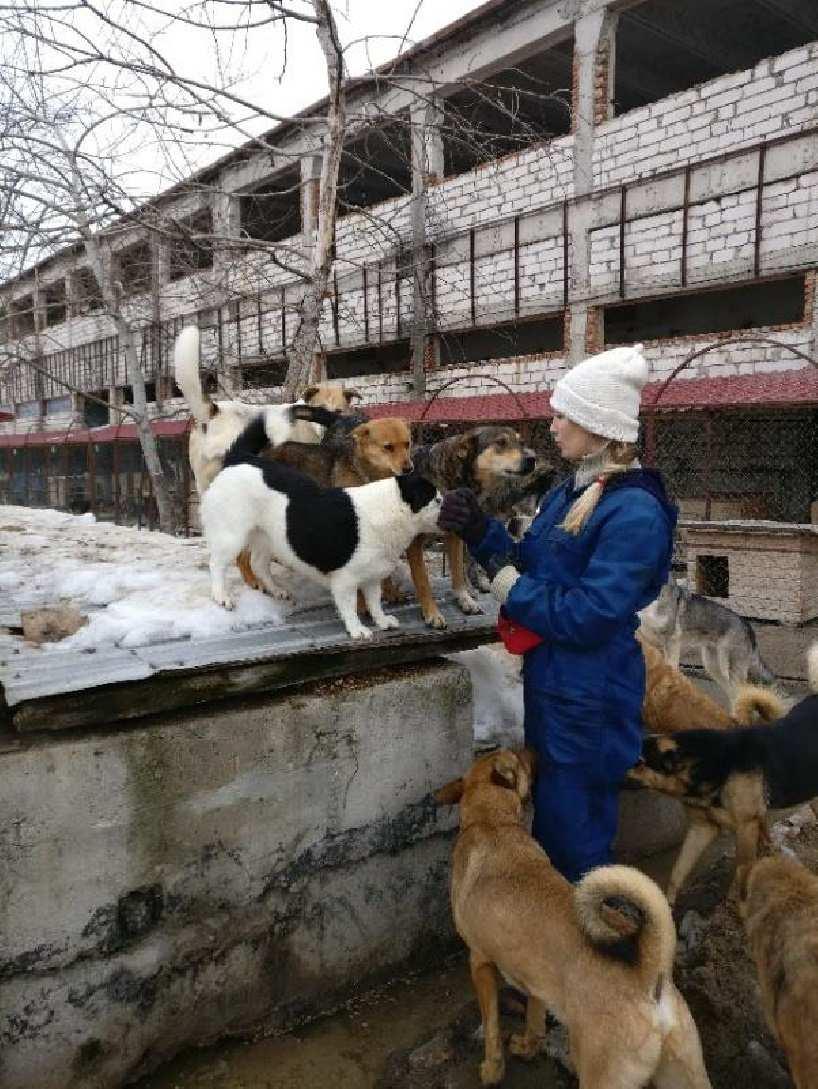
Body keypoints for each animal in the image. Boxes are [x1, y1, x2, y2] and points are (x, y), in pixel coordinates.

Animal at [200, 411, 442, 640]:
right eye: (437, 500)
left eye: (408, 444)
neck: (386, 508)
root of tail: (238, 459)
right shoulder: (345, 581)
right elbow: (351, 607)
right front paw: (357, 629)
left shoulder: (372, 578)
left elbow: (375, 602)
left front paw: (382, 621)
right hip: (233, 536)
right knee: (218, 564)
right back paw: (222, 596)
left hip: (269, 537)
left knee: (258, 564)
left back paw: (276, 590)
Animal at [437, 749, 714, 1089]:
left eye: (517, 755)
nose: (534, 749)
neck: (493, 821)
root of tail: (648, 972)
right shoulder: (536, 981)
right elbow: (534, 1019)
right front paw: (527, 1047)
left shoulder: (480, 962)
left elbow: (491, 1026)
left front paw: (492, 1069)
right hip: (685, 1070)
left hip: (602, 1075)